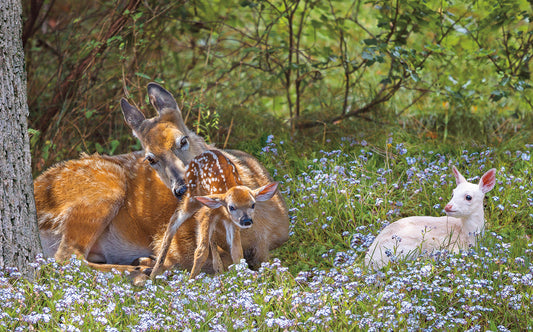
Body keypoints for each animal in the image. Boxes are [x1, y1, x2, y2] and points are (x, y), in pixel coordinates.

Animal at [147, 149, 278, 278]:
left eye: (253, 204)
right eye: (231, 207)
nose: (246, 221)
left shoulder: (232, 223)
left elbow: (237, 252)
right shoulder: (207, 213)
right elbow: (201, 251)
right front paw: (191, 279)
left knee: (212, 236)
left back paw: (218, 269)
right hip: (192, 197)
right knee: (174, 221)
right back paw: (154, 273)